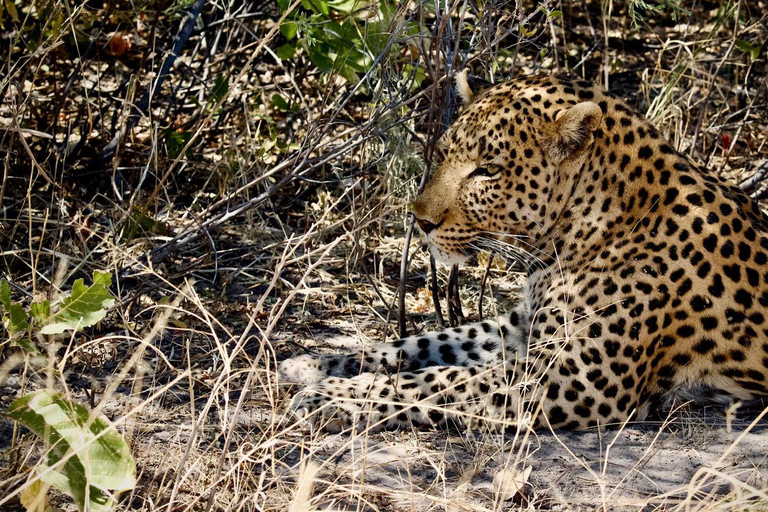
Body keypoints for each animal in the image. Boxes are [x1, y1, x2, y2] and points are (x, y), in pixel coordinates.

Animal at [280, 72, 768, 432]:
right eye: (444, 152)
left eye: (488, 171)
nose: (421, 220)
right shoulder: (523, 327)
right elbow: (423, 343)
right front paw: (314, 364)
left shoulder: (568, 377)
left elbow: (436, 382)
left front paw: (329, 396)